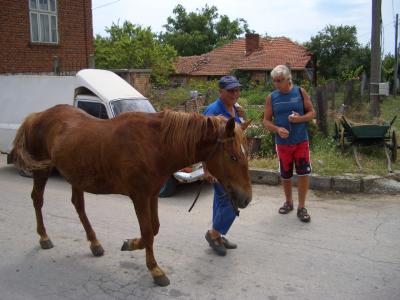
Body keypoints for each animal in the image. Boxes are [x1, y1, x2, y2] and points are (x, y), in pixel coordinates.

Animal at [11, 104, 250, 288]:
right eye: (233, 157)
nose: (246, 198)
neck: (155, 144)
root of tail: (37, 116)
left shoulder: (152, 195)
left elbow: (153, 229)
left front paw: (131, 244)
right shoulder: (139, 197)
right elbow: (148, 232)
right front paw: (155, 270)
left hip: (75, 175)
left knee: (78, 205)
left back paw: (94, 243)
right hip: (42, 171)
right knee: (37, 200)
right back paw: (44, 237)